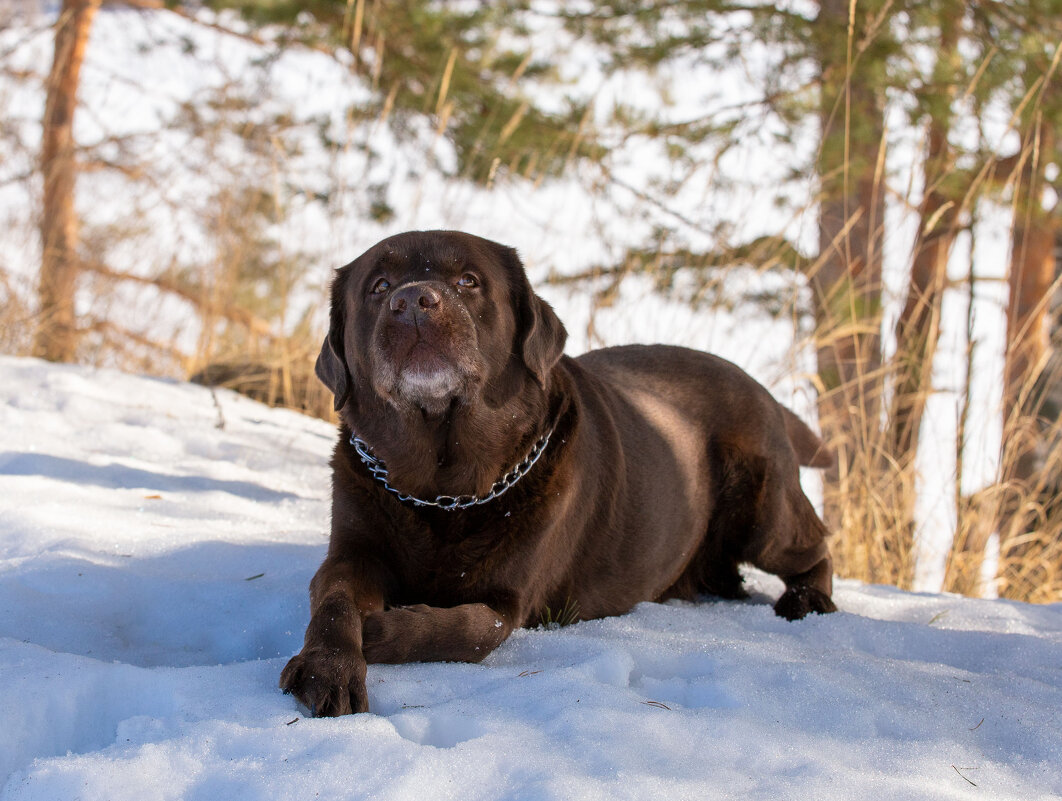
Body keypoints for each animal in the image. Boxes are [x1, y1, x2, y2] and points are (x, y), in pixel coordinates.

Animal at [282, 227, 836, 713]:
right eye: (379, 286)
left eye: (469, 280)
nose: (413, 301)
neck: (442, 491)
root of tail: (759, 387)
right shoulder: (351, 552)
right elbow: (334, 602)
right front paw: (328, 669)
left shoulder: (512, 598)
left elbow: (471, 630)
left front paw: (379, 630)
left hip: (762, 511)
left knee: (814, 547)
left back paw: (807, 600)